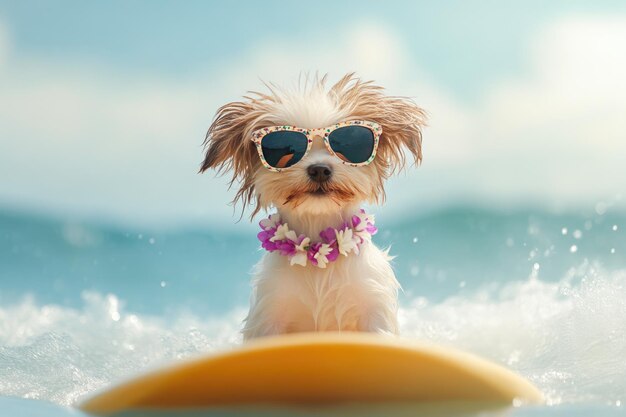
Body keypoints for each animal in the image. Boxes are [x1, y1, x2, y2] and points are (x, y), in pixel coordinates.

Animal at [200, 73, 424, 340]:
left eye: (348, 146)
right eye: (285, 151)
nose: (319, 169)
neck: (318, 252)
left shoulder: (374, 307)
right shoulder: (269, 313)